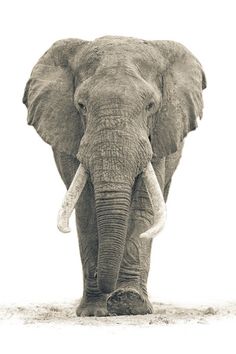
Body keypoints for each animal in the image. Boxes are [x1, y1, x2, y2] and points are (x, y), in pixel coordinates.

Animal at [22, 36, 206, 316]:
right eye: (81, 106)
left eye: (150, 106)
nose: (104, 284)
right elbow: (86, 205)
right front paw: (93, 311)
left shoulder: (159, 135)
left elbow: (143, 204)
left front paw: (129, 304)